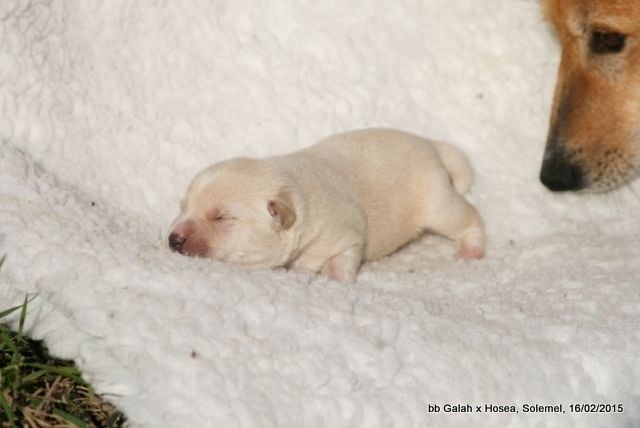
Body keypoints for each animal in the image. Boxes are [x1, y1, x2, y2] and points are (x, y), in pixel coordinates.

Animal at [170, 129, 484, 282]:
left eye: (221, 217)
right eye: (183, 208)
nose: (173, 239)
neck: (295, 191)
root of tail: (430, 144)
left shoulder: (348, 231)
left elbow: (343, 256)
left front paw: (334, 280)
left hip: (437, 201)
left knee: (468, 217)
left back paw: (472, 249)